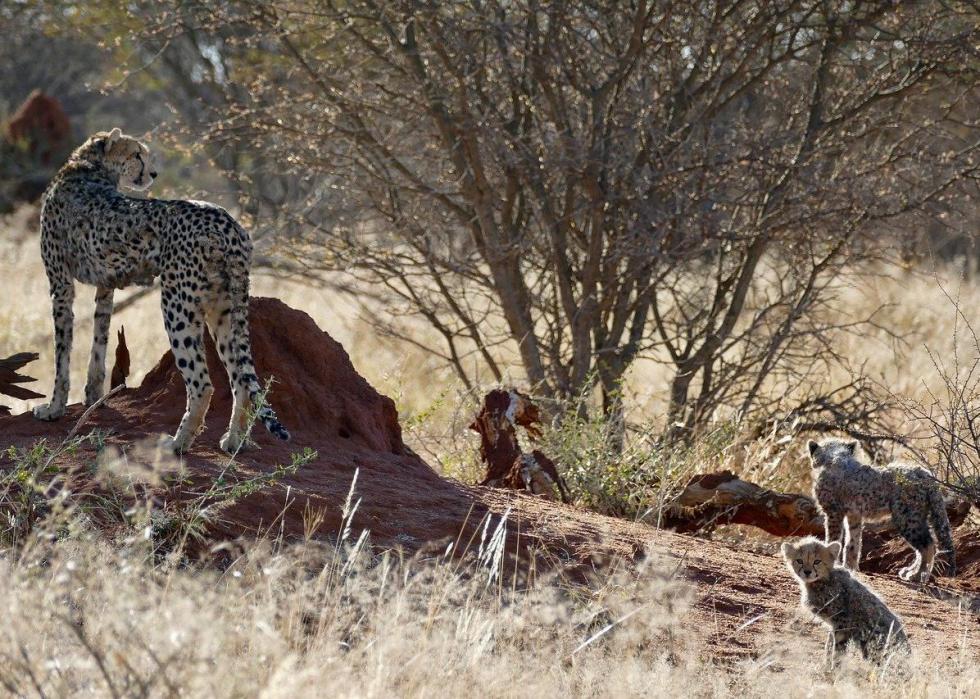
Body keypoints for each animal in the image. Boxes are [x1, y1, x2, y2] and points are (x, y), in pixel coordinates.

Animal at [31, 129, 290, 454]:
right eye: (136, 154)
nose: (153, 174)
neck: (89, 168)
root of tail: (227, 221)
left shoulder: (60, 284)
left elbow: (62, 352)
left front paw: (53, 408)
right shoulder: (105, 287)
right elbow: (98, 342)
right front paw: (92, 397)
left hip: (177, 304)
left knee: (202, 383)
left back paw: (177, 443)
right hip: (225, 307)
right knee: (240, 378)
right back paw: (233, 441)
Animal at [808, 440, 952, 584]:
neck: (834, 456)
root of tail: (923, 472)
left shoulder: (833, 512)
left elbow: (832, 539)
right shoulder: (854, 514)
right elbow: (853, 543)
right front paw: (850, 567)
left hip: (906, 518)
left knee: (927, 545)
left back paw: (917, 575)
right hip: (917, 516)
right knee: (925, 545)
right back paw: (912, 572)